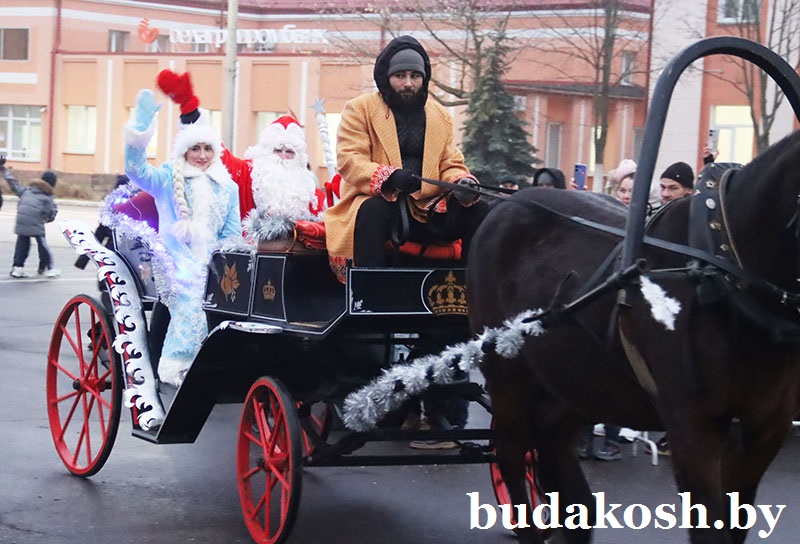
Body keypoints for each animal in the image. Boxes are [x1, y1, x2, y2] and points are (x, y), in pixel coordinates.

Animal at [467, 130, 800, 543]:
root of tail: (504, 204)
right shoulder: (693, 429)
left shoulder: (764, 432)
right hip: (507, 371)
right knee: (512, 452)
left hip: (583, 379)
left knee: (551, 437)